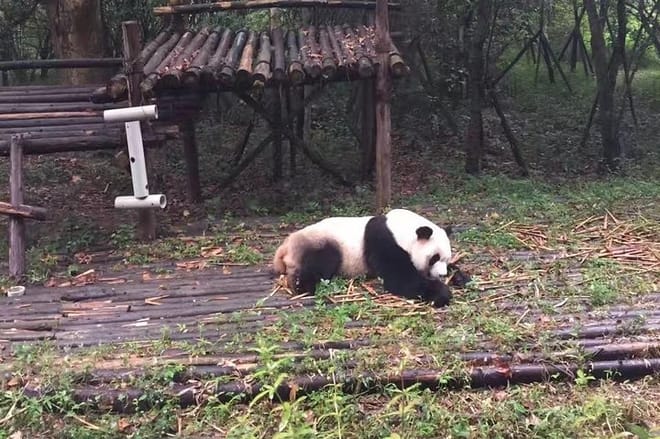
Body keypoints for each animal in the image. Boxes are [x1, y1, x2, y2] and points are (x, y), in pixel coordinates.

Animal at [272, 208, 456, 307]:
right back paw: (304, 287)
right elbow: (400, 279)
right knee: (322, 261)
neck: (402, 230)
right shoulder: (383, 241)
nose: (442, 275)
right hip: (319, 243)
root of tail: (286, 245)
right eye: (434, 258)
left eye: (446, 259)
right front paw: (441, 293)